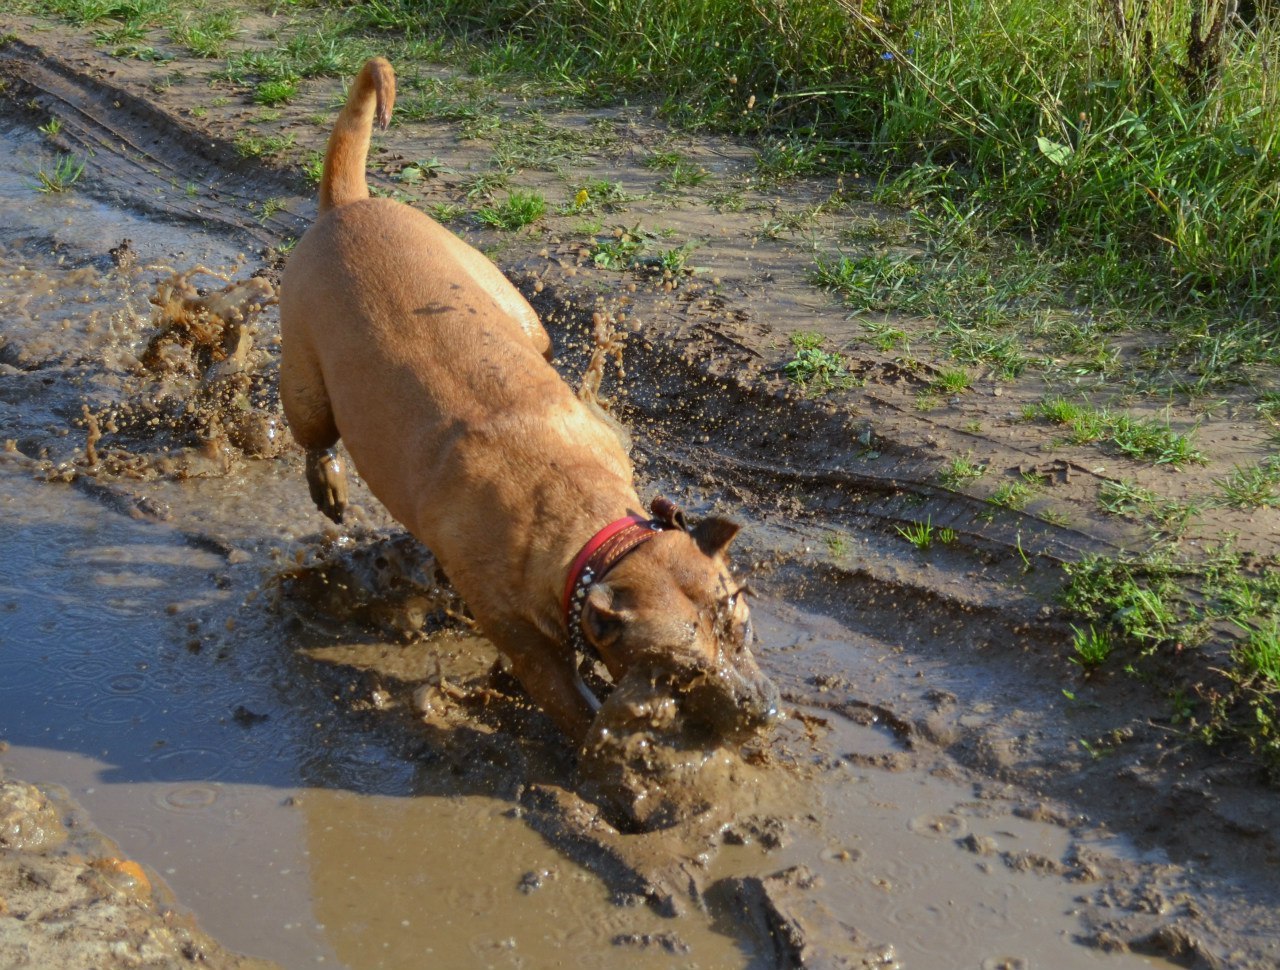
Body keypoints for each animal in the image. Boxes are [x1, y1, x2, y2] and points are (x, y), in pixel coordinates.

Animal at [280, 58, 778, 742]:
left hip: (513, 305)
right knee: (315, 439)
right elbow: (574, 708)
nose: (762, 711)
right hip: (304, 384)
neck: (586, 526)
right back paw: (328, 483)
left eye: (741, 625)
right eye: (679, 674)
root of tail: (346, 205)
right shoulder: (526, 645)